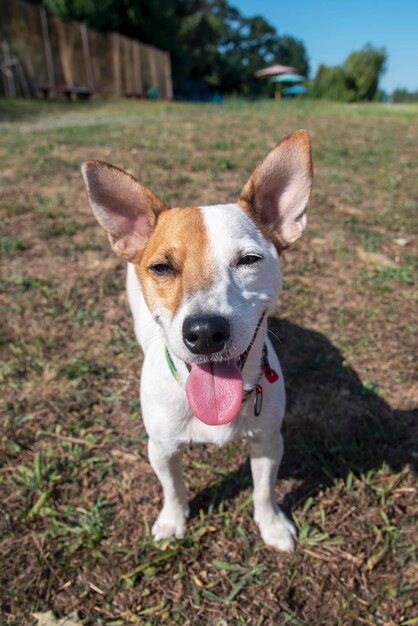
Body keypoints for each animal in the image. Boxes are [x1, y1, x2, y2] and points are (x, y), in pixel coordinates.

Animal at [81, 129, 312, 548]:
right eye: (161, 267)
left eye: (249, 260)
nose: (204, 332)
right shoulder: (161, 449)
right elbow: (172, 488)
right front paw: (173, 522)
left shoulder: (268, 441)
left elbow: (264, 490)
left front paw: (271, 524)